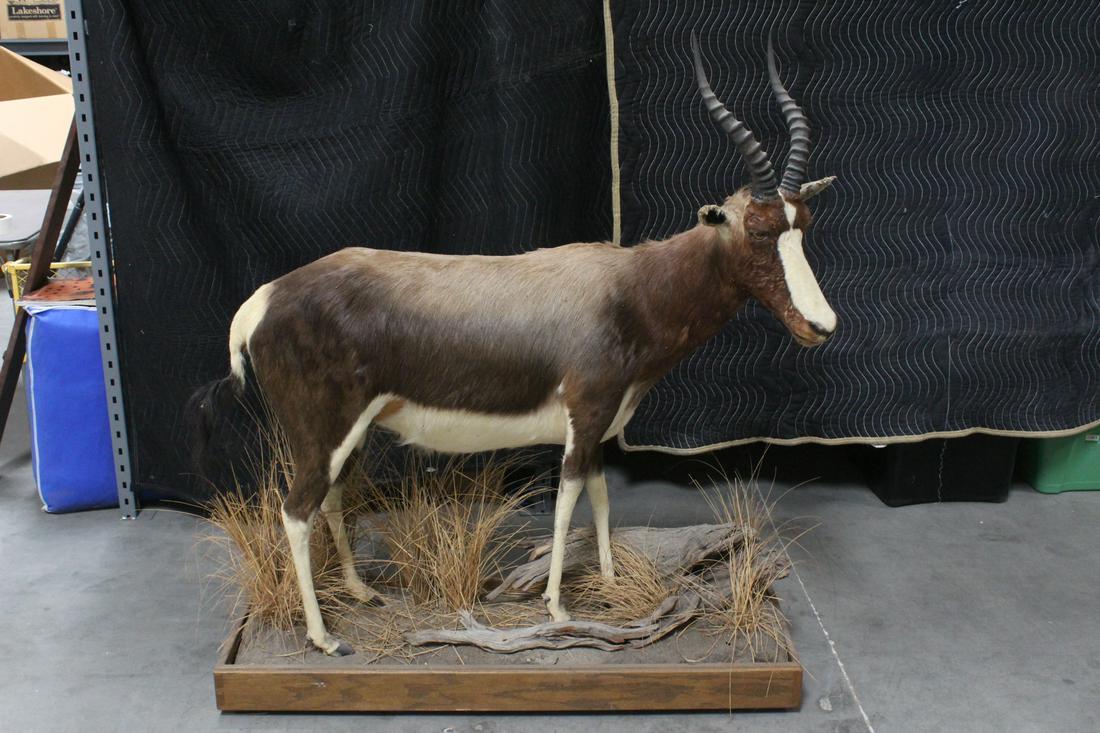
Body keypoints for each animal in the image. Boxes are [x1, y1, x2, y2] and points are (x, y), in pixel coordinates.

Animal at [190, 38, 837, 656]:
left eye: (803, 222)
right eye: (757, 229)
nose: (822, 325)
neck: (626, 287)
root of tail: (265, 299)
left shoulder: (597, 427)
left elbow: (600, 493)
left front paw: (608, 581)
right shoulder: (584, 415)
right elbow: (568, 497)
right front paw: (556, 607)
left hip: (349, 435)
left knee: (331, 498)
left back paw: (360, 591)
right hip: (322, 432)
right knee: (296, 510)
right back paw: (325, 638)